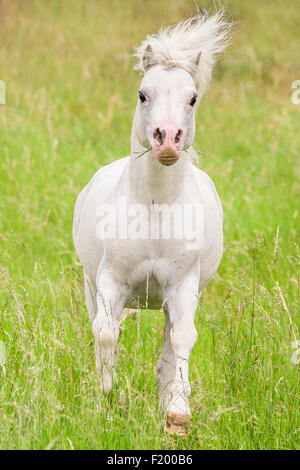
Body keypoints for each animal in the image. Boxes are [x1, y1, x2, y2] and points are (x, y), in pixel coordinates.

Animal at [73, 10, 232, 434]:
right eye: (143, 94)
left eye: (192, 98)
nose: (167, 138)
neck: (155, 211)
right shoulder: (110, 282)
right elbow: (106, 335)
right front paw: (107, 402)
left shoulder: (183, 288)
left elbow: (181, 341)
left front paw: (177, 414)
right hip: (91, 285)